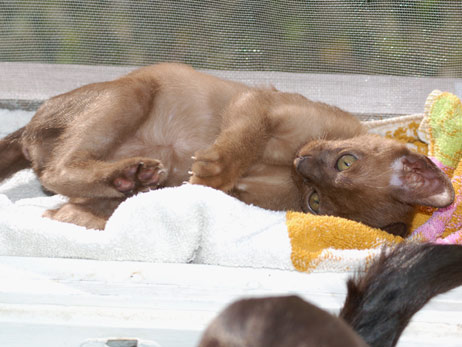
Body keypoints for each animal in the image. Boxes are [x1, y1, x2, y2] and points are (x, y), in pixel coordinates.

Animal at [0, 64, 454, 232]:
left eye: (316, 202)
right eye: (346, 161)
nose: (304, 162)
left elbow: (223, 183)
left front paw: (202, 182)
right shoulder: (260, 106)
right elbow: (238, 146)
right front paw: (211, 172)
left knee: (71, 188)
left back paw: (124, 182)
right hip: (133, 92)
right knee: (58, 169)